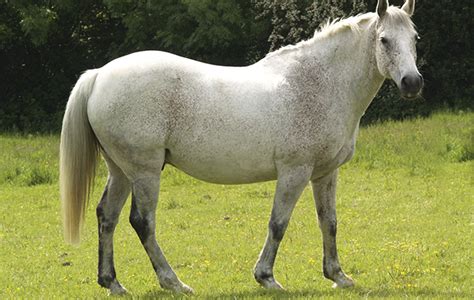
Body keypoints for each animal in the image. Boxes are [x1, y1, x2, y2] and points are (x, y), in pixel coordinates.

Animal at [58, 0, 422, 296]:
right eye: (384, 40)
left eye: (414, 39)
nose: (412, 83)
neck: (318, 84)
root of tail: (99, 75)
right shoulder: (295, 172)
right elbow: (278, 223)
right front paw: (267, 278)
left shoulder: (325, 173)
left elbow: (329, 222)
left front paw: (338, 276)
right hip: (144, 171)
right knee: (142, 222)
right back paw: (173, 282)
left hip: (121, 171)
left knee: (108, 216)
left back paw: (112, 283)